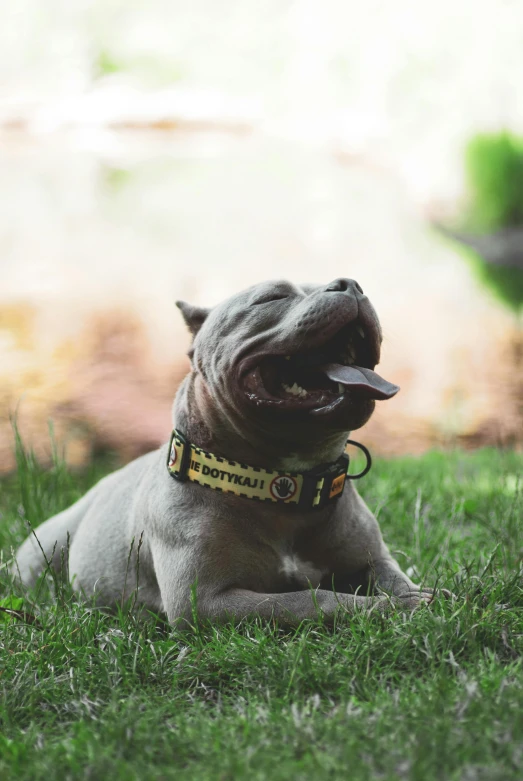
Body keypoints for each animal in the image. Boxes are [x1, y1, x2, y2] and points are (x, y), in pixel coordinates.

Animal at [13, 278, 438, 624]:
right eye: (272, 297)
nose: (351, 284)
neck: (285, 484)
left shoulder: (374, 559)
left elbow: (394, 578)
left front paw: (415, 595)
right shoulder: (206, 601)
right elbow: (309, 599)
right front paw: (392, 608)